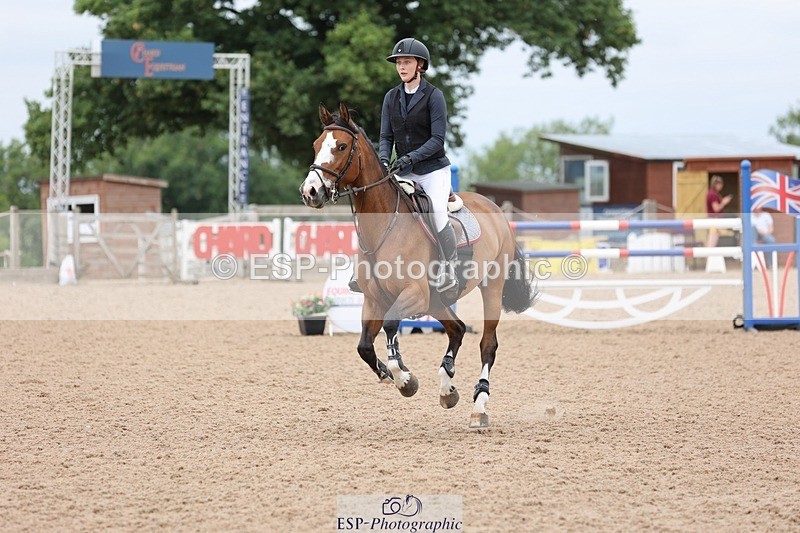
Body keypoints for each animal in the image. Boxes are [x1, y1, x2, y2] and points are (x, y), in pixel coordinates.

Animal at [299, 102, 536, 428]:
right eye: (316, 145)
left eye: (342, 146)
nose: (310, 192)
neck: (385, 226)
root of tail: (495, 209)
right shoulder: (374, 300)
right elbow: (364, 346)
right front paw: (389, 374)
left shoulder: (414, 294)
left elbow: (390, 326)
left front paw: (404, 379)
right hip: (436, 300)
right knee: (457, 329)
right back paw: (447, 387)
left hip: (489, 288)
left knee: (487, 344)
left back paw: (479, 407)